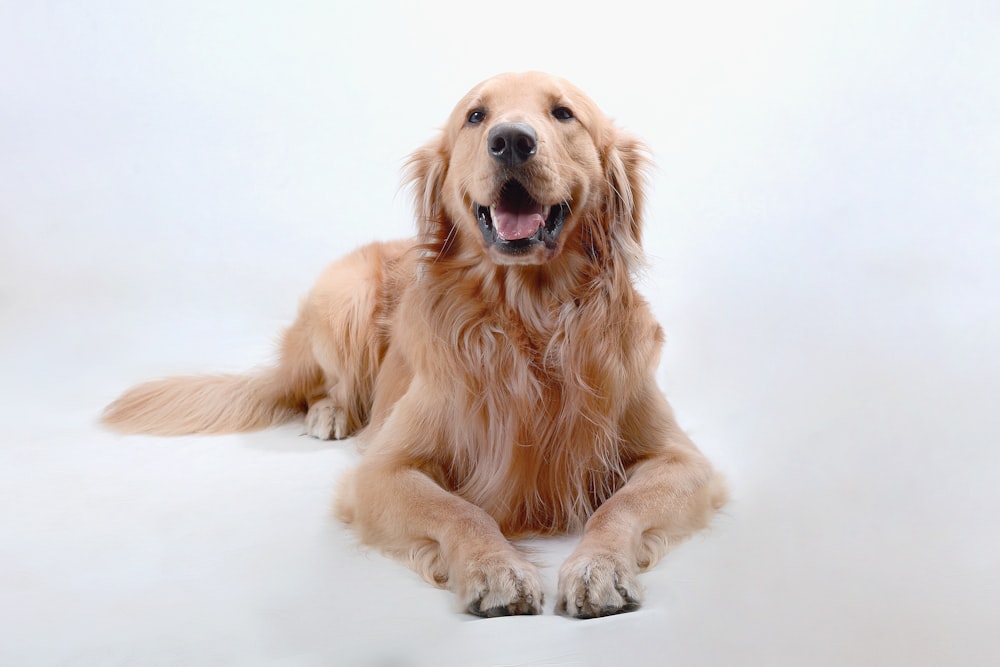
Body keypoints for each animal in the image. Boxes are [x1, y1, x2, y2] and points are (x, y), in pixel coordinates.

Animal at [101, 70, 728, 620]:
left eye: (563, 113)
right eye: (476, 116)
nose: (511, 140)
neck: (528, 321)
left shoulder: (681, 459)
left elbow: (623, 504)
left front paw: (599, 567)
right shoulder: (385, 469)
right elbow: (459, 511)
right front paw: (494, 569)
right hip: (346, 296)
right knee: (323, 385)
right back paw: (330, 414)